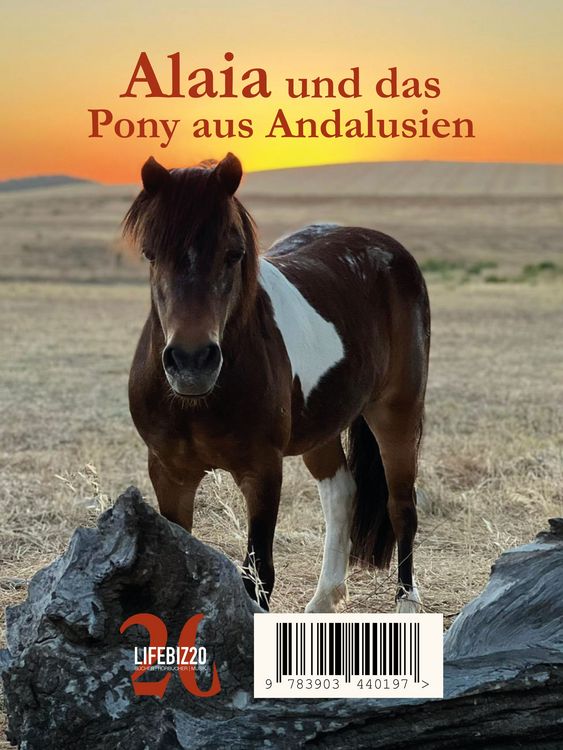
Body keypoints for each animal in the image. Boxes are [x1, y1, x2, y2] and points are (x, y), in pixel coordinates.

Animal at [124, 153, 430, 613]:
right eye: (151, 254)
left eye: (234, 254)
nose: (192, 362)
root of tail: (388, 249)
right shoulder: (168, 472)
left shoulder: (262, 471)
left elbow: (258, 573)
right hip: (323, 425)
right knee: (341, 491)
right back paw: (323, 600)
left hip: (396, 412)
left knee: (401, 506)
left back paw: (406, 602)